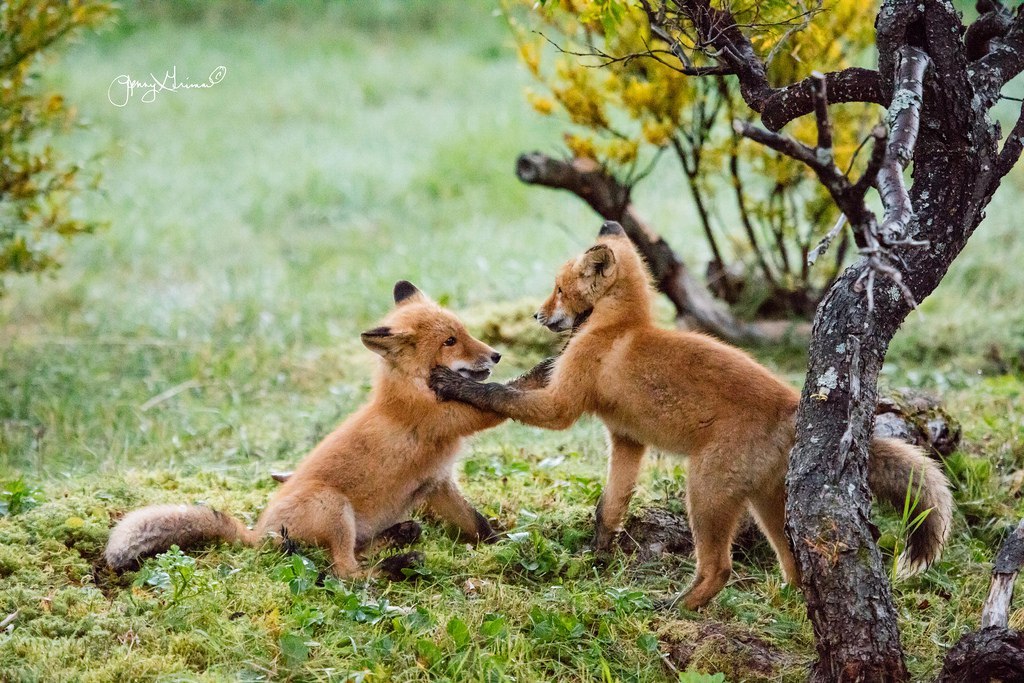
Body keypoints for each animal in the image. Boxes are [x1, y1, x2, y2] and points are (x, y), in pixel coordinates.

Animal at [105, 282, 552, 577]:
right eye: (450, 341)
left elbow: (478, 525)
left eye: (464, 332)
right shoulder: (452, 421)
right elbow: (497, 397)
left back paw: (400, 537)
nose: (496, 355)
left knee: (359, 555)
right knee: (344, 573)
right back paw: (398, 564)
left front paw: (501, 549)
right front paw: (540, 369)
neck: (408, 392)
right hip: (333, 507)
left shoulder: (437, 484)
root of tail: (256, 532)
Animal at [430, 223, 950, 610]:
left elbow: (500, 395)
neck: (617, 328)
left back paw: (678, 608)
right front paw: (597, 557)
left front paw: (456, 385)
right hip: (765, 505)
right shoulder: (626, 438)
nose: (537, 317)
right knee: (795, 566)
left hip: (703, 493)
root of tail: (792, 405)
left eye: (558, 290)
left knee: (720, 568)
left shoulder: (562, 406)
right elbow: (609, 507)